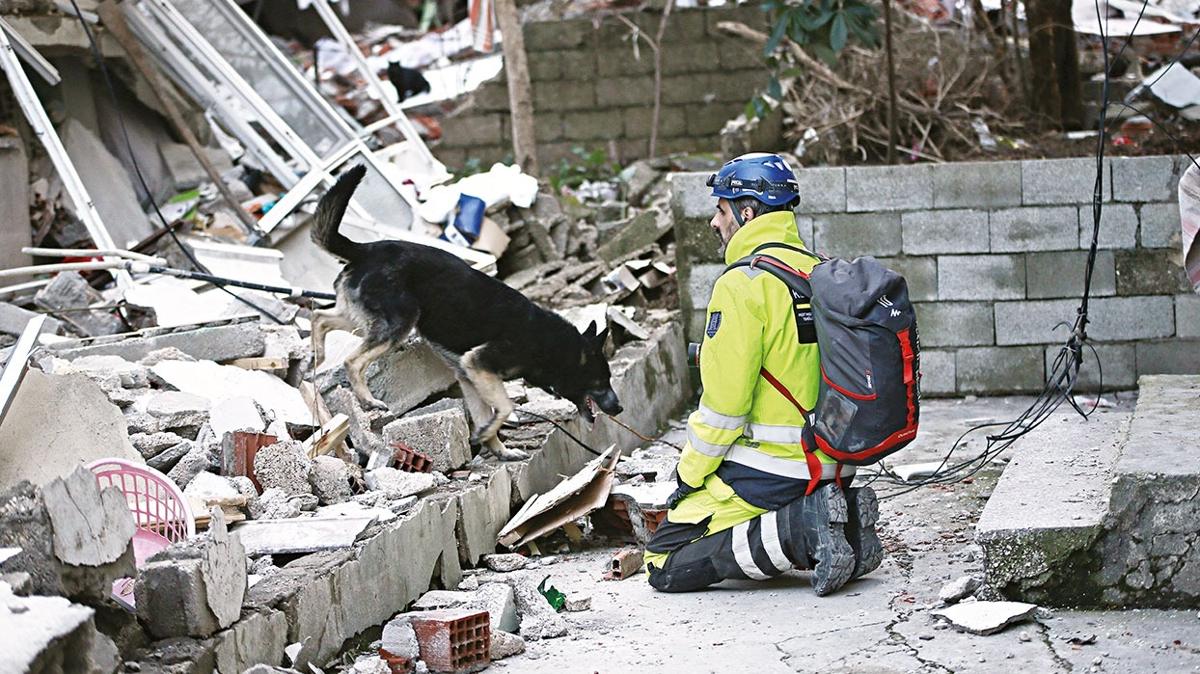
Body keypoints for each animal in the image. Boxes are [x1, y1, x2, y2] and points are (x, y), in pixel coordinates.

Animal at [309, 165, 624, 458]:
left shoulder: (470, 376)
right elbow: (505, 406)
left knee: (319, 318)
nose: (619, 407)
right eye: (601, 381)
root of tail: (365, 249)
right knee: (352, 360)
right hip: (399, 322)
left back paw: (317, 355)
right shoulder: (479, 364)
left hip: (361, 318)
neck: (554, 347)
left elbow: (488, 412)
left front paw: (499, 450)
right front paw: (487, 435)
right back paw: (367, 400)